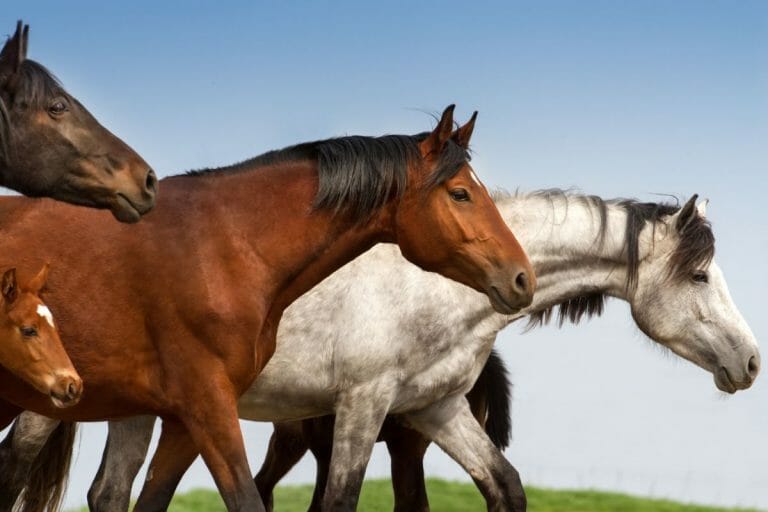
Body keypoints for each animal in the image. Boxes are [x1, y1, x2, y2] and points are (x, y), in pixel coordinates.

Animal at [66, 190, 757, 512]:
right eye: (700, 277)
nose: (750, 362)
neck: (446, 285)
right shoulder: (363, 405)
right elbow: (339, 499)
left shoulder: (436, 411)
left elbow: (504, 485)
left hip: (140, 409)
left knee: (109, 492)